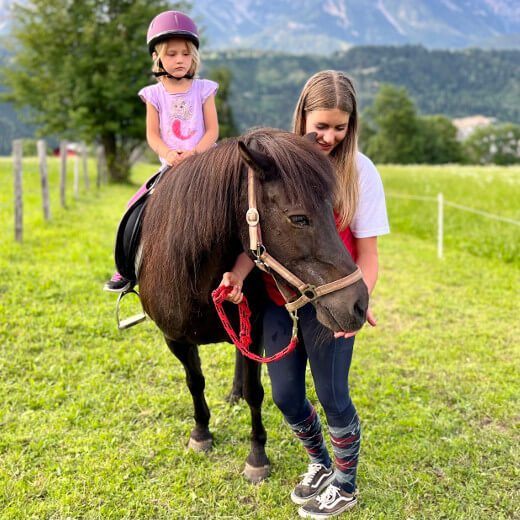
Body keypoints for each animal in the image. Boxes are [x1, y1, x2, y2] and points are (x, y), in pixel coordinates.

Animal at [136, 128, 368, 482]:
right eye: (299, 218)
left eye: (334, 212)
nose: (358, 303)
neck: (196, 274)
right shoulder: (174, 338)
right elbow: (195, 382)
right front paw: (201, 433)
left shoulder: (255, 326)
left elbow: (253, 391)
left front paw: (257, 455)